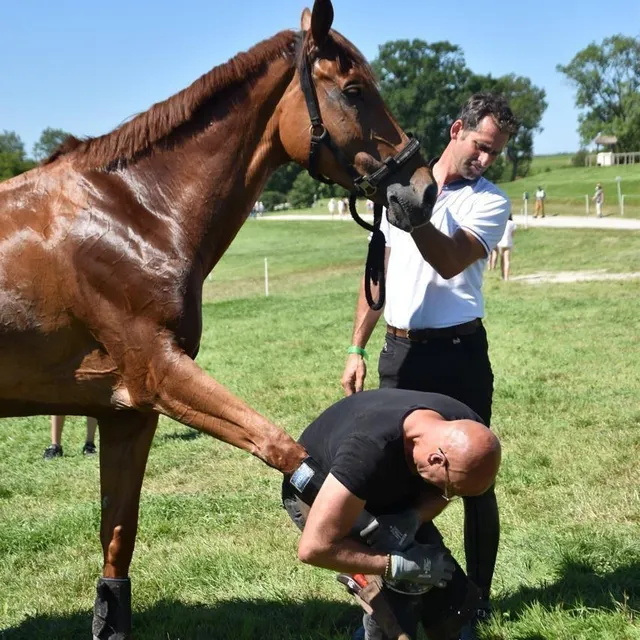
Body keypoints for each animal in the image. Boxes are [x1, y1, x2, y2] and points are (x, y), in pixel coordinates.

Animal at [0, 1, 436, 637]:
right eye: (355, 91)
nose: (423, 191)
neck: (134, 214)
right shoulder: (160, 373)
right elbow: (281, 446)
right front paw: (383, 539)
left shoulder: (127, 413)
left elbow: (118, 538)